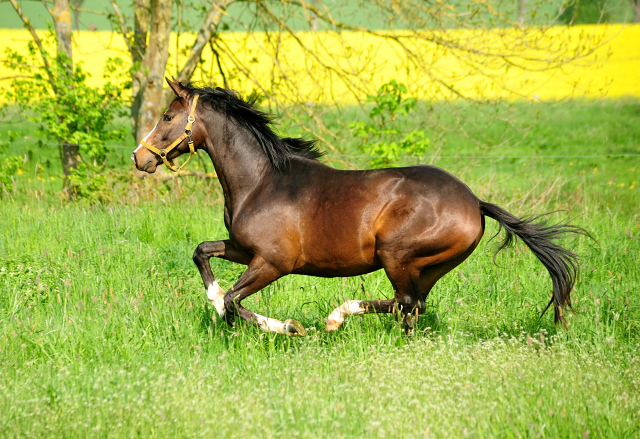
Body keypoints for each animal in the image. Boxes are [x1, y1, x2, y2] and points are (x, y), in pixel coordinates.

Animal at [132, 78, 588, 336]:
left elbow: (234, 301)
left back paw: (336, 317)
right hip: (430, 266)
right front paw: (212, 302)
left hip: (397, 255)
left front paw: (289, 328)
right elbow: (203, 255)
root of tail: (475, 202)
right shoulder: (244, 249)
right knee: (413, 307)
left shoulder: (273, 262)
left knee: (405, 302)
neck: (261, 182)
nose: (140, 158)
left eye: (168, 116)